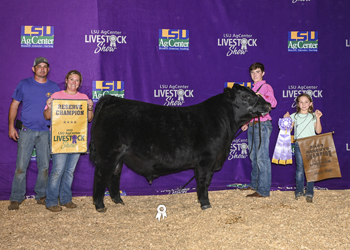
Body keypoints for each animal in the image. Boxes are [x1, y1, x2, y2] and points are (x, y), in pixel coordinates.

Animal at [88, 85, 270, 212]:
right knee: (100, 176)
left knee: (114, 176)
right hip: (108, 154)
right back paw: (100, 205)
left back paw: (118, 201)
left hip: (118, 157)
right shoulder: (206, 160)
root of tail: (113, 99)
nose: (268, 104)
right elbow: (204, 182)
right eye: (245, 96)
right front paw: (205, 204)